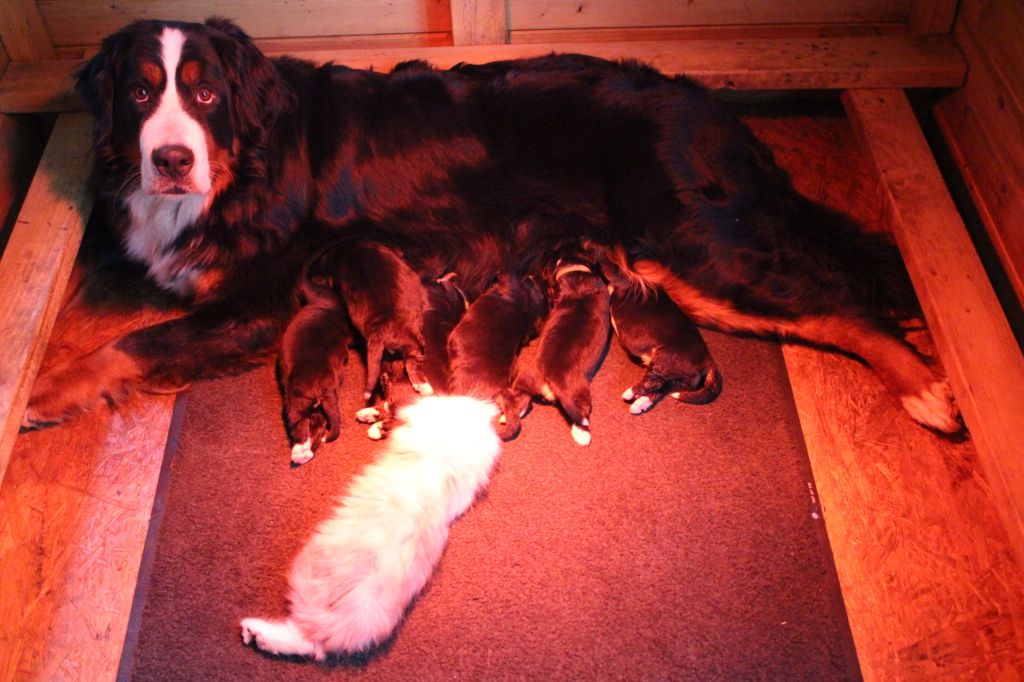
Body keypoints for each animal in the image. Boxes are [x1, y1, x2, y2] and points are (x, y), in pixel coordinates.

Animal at [503, 259, 606, 440]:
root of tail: (550, 379)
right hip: (580, 393)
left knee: (521, 401)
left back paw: (505, 416)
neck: (573, 271)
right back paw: (582, 435)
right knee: (580, 414)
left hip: (524, 381)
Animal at [610, 282, 724, 411]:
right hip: (679, 380)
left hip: (663, 361)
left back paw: (630, 394)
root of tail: (708, 359)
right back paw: (640, 404)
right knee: (662, 388)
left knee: (654, 382)